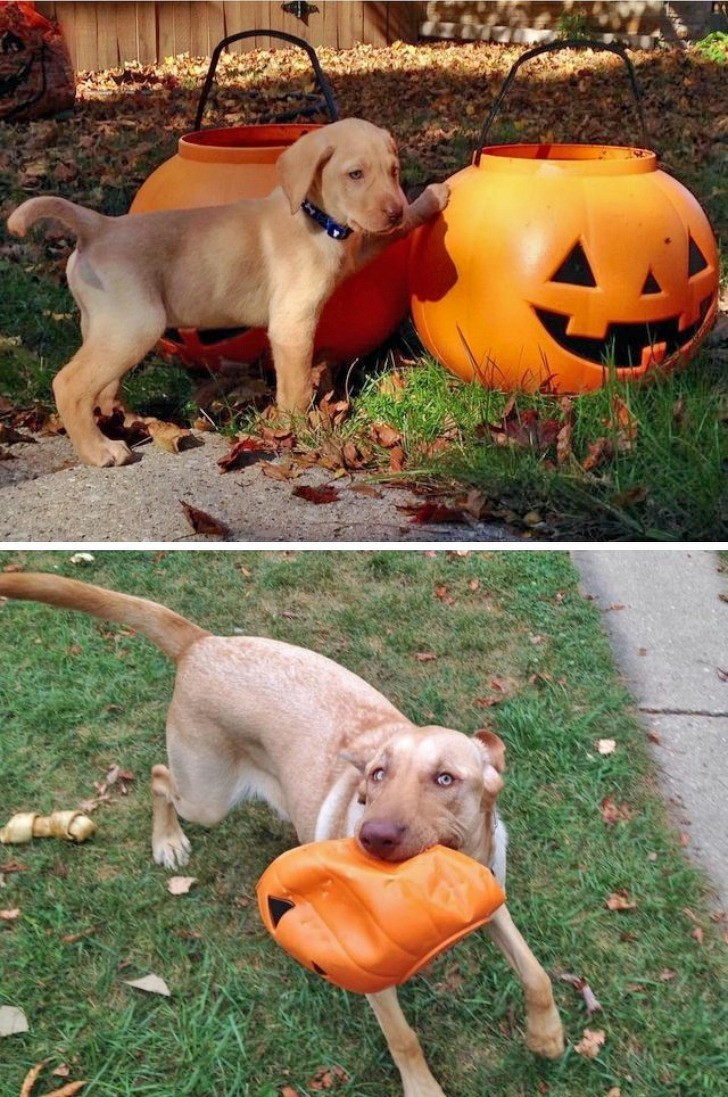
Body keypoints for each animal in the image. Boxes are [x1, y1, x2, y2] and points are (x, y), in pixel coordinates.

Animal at [0, 574, 561, 1097]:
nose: (373, 837)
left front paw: (548, 1035)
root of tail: (203, 644)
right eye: (377, 775)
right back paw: (168, 841)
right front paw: (423, 1087)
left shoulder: (493, 901)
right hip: (205, 796)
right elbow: (404, 1038)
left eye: (446, 779)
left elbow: (536, 973)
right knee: (159, 776)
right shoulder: (369, 974)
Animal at [7, 121, 449, 471]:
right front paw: (296, 430)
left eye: (394, 172)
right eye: (355, 174)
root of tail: (98, 226)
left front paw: (431, 199)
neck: (315, 218)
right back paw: (98, 450)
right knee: (69, 384)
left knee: (99, 388)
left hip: (104, 328)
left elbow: (391, 233)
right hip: (135, 327)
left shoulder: (357, 249)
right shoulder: (292, 323)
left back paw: (117, 422)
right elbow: (296, 387)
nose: (393, 209)